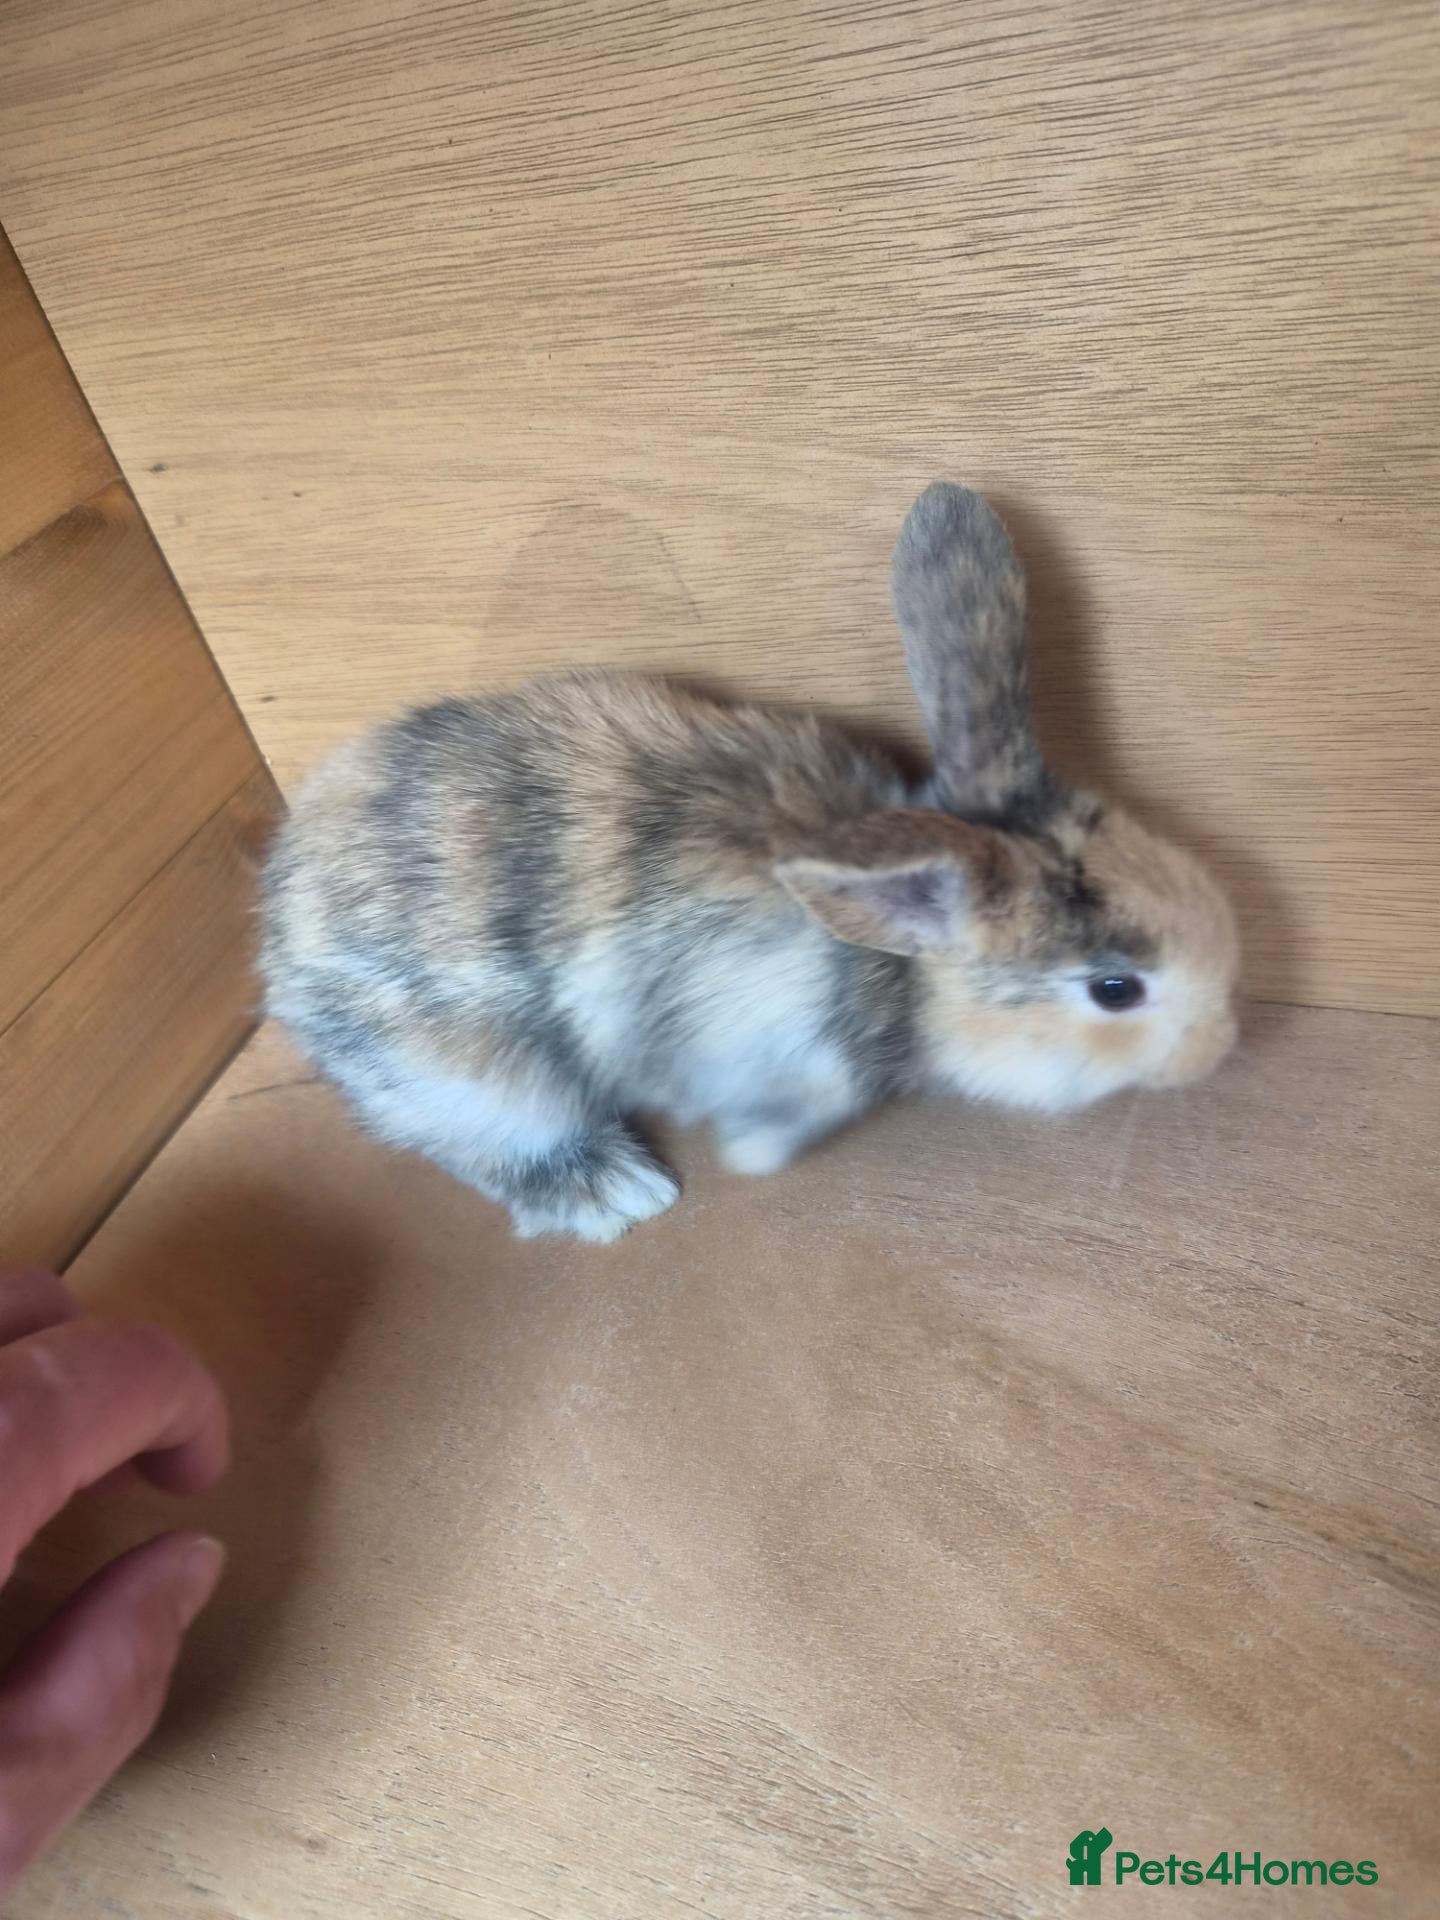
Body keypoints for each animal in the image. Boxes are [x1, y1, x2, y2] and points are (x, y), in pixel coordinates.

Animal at [259, 483, 1239, 1242]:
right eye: (1115, 990)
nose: (1221, 1046)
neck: (900, 969)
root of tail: (280, 922)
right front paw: (756, 1153)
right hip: (465, 1078)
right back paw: (619, 1191)